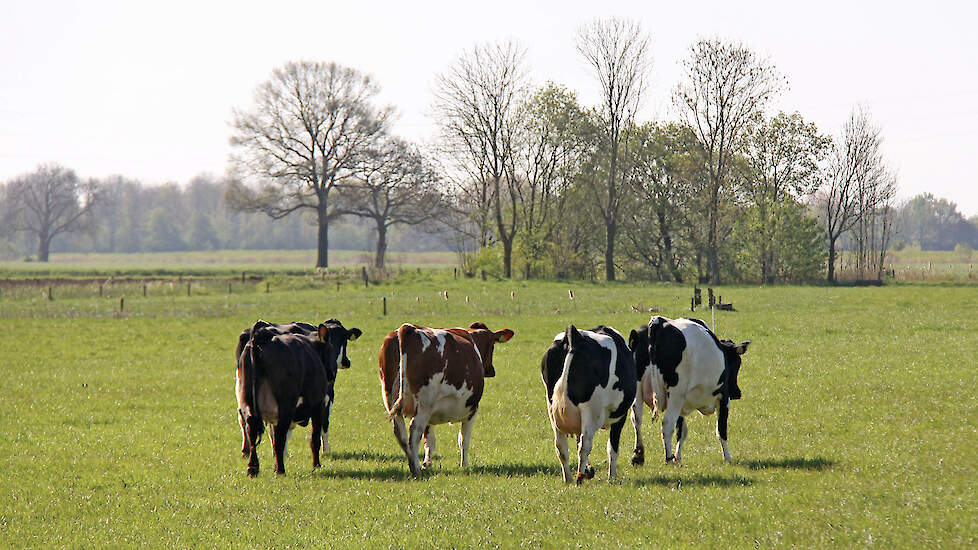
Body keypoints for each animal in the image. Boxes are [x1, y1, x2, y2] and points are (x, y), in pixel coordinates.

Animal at [234, 319, 361, 458]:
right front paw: (326, 450)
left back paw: (247, 451)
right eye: (345, 341)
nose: (346, 362)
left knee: (244, 418)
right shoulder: (327, 397)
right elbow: (324, 424)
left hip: (243, 391)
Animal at [379, 322, 514, 478]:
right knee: (414, 432)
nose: (491, 371)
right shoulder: (472, 409)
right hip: (424, 404)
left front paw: (427, 463)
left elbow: (429, 440)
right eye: (492, 345)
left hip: (391, 399)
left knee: (400, 433)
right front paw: (464, 465)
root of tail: (408, 328)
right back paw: (416, 469)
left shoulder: (430, 415)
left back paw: (412, 463)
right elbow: (464, 439)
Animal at [541, 325, 637, 484]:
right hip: (591, 411)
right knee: (585, 445)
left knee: (561, 446)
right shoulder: (620, 417)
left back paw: (568, 479)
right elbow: (612, 447)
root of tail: (576, 337)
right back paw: (579, 478)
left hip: (552, 412)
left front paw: (589, 470)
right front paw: (612, 477)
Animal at [629, 316, 750, 465]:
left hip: (639, 391)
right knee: (667, 423)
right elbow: (721, 429)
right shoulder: (723, 398)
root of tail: (659, 322)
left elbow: (681, 432)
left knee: (637, 418)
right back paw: (668, 458)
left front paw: (678, 457)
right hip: (675, 394)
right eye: (738, 363)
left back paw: (638, 456)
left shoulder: (682, 405)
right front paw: (727, 457)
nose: (737, 393)